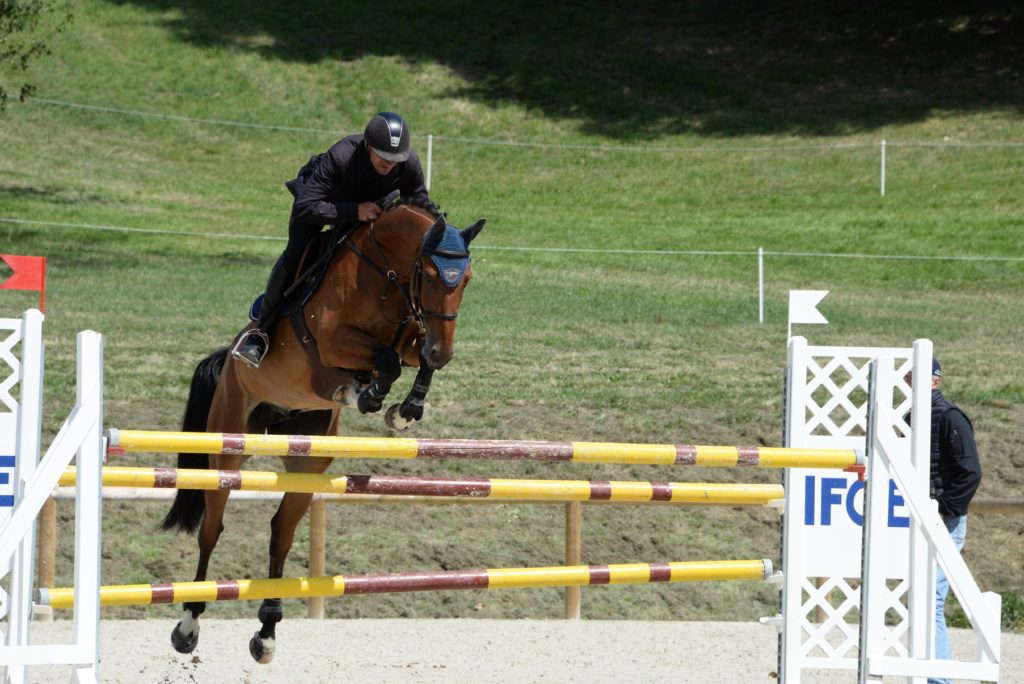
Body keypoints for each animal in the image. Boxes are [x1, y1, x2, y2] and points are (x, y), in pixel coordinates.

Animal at [156, 198, 483, 663]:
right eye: (432, 275)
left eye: (466, 279)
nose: (445, 351)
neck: (385, 274)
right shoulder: (333, 344)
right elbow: (386, 361)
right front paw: (365, 393)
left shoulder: (411, 331)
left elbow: (410, 358)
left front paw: (403, 410)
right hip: (229, 446)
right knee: (211, 529)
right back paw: (188, 625)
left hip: (305, 459)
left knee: (281, 533)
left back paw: (267, 632)